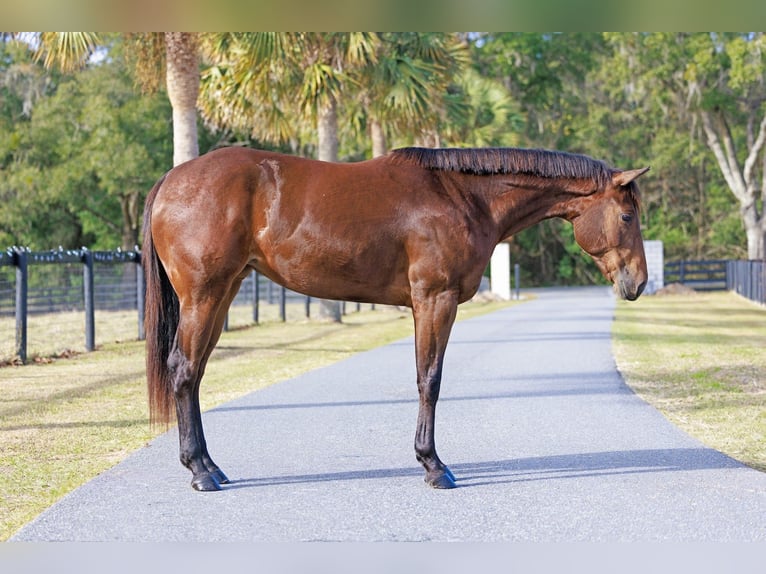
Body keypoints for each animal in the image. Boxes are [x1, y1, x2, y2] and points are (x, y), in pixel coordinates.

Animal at [142, 146, 649, 491]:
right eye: (627, 216)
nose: (639, 283)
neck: (462, 196)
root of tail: (171, 179)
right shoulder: (434, 300)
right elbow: (430, 379)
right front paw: (433, 465)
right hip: (204, 296)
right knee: (184, 370)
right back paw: (200, 472)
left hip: (223, 294)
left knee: (195, 373)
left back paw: (211, 466)